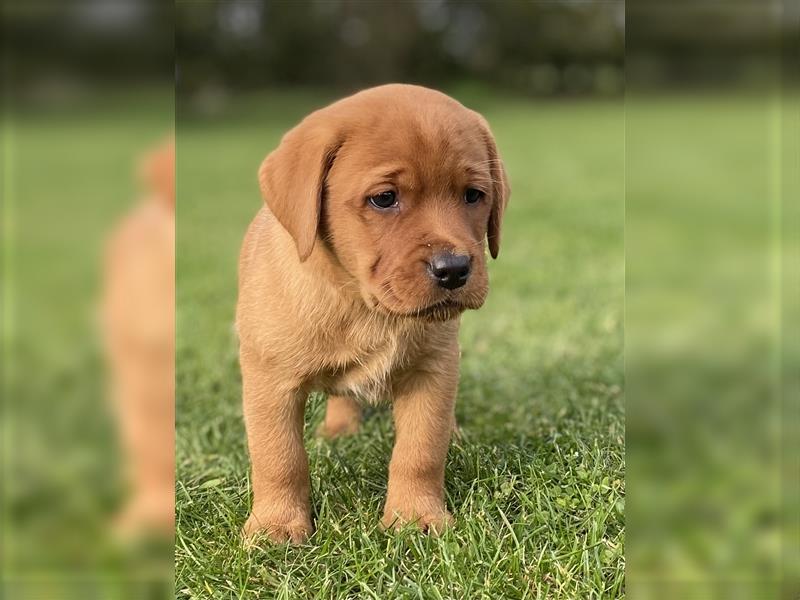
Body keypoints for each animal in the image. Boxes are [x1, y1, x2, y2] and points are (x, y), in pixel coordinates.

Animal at [238, 85, 510, 544]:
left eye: (473, 195)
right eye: (385, 198)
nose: (454, 269)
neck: (365, 305)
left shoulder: (433, 372)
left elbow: (421, 451)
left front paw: (415, 516)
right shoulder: (270, 381)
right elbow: (279, 458)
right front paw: (277, 526)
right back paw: (339, 430)